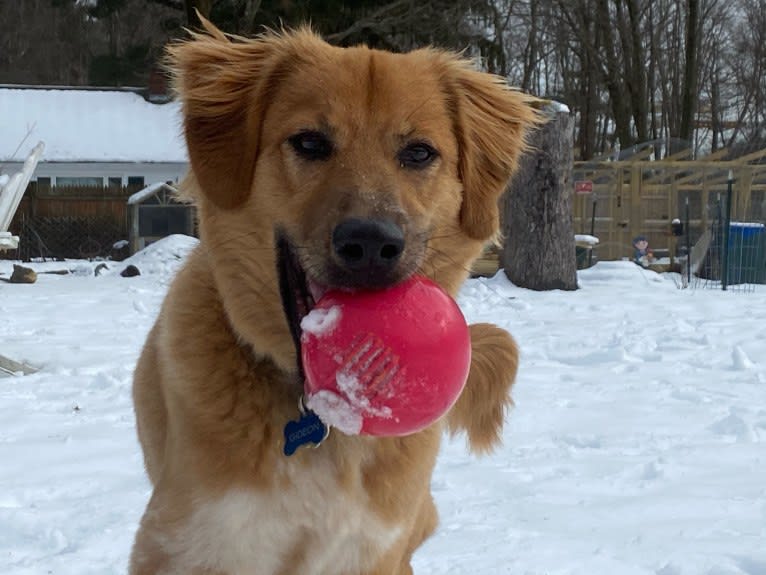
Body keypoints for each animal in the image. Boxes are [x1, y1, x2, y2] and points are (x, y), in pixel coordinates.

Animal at [130, 19, 540, 575]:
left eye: (418, 152)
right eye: (309, 142)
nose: (370, 243)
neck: (324, 420)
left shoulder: (371, 548)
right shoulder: (190, 542)